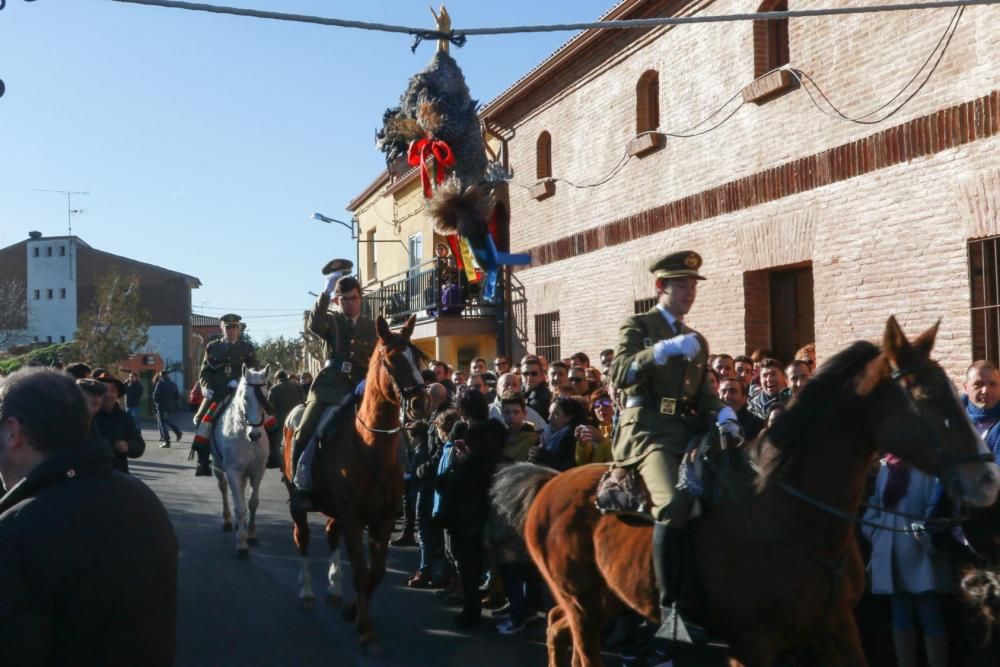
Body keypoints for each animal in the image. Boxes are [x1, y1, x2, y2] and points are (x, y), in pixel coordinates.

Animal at [214, 366, 270, 560]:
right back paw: (227, 520)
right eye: (245, 397)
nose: (255, 434)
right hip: (219, 468)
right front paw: (242, 544)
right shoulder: (233, 471)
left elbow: (252, 503)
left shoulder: (257, 471)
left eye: (265, 395)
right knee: (224, 489)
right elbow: (239, 507)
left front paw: (251, 535)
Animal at [282, 314, 426, 656]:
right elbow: (361, 573)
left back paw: (335, 590)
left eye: (419, 360)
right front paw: (366, 631)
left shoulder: (382, 519)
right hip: (299, 503)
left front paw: (352, 611)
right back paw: (307, 593)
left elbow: (376, 572)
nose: (421, 402)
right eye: (391, 359)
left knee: (330, 535)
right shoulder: (354, 519)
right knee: (302, 539)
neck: (370, 446)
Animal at [492, 318, 1000, 667]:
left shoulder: (836, 624)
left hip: (604, 597)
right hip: (582, 600)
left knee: (556, 627)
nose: (987, 479)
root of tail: (549, 482)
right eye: (925, 396)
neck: (789, 512)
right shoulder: (753, 643)